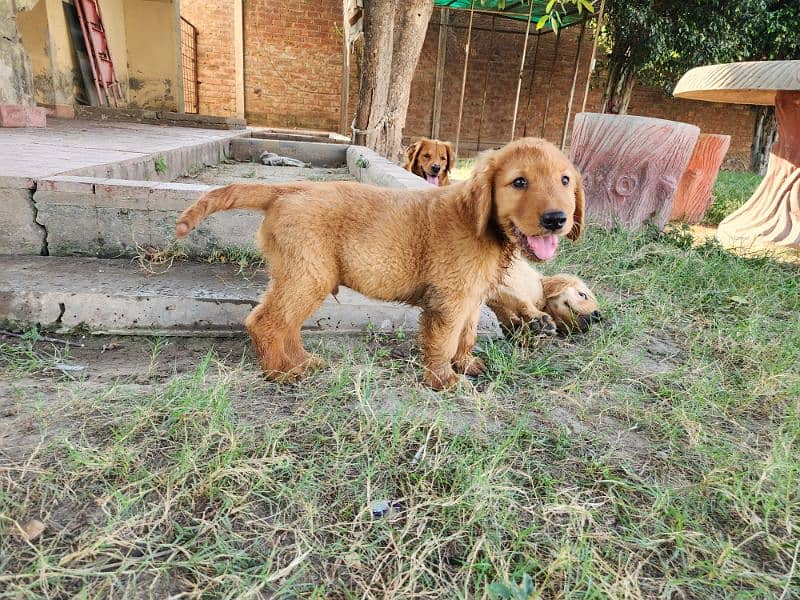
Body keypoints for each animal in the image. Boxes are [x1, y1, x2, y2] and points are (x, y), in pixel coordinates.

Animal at [178, 137, 584, 390]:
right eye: (519, 182)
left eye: (565, 180)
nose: (556, 220)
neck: (484, 226)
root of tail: (286, 189)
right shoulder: (449, 300)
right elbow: (443, 339)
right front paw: (443, 381)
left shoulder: (472, 298)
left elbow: (465, 336)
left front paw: (466, 364)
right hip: (307, 276)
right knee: (265, 322)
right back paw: (279, 373)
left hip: (300, 277)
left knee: (285, 324)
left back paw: (301, 363)